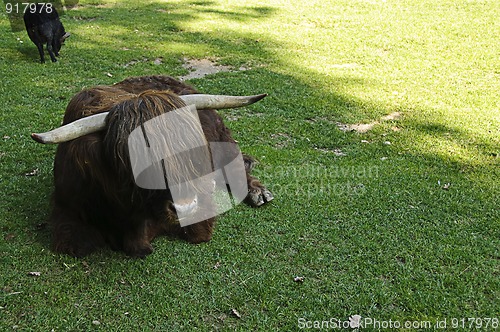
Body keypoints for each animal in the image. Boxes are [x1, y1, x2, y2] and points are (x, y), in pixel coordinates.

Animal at [32, 75, 274, 256]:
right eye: (134, 157)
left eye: (191, 147)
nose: (184, 207)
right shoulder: (67, 210)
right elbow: (79, 244)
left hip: (224, 142)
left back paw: (258, 192)